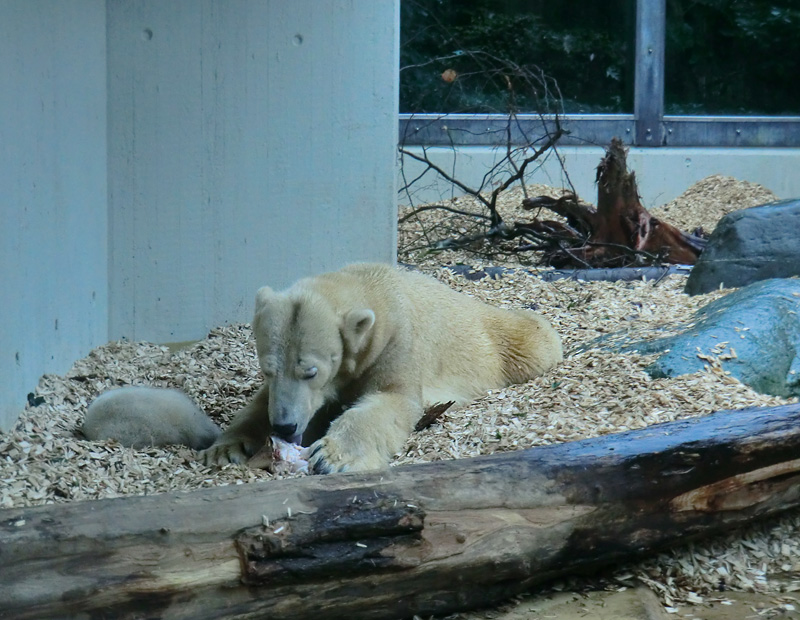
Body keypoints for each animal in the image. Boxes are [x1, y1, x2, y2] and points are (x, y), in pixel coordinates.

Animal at [200, 262, 564, 474]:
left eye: (311, 371)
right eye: (267, 369)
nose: (285, 426)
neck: (373, 287)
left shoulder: (396, 340)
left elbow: (392, 399)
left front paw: (332, 457)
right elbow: (260, 404)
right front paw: (224, 448)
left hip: (496, 338)